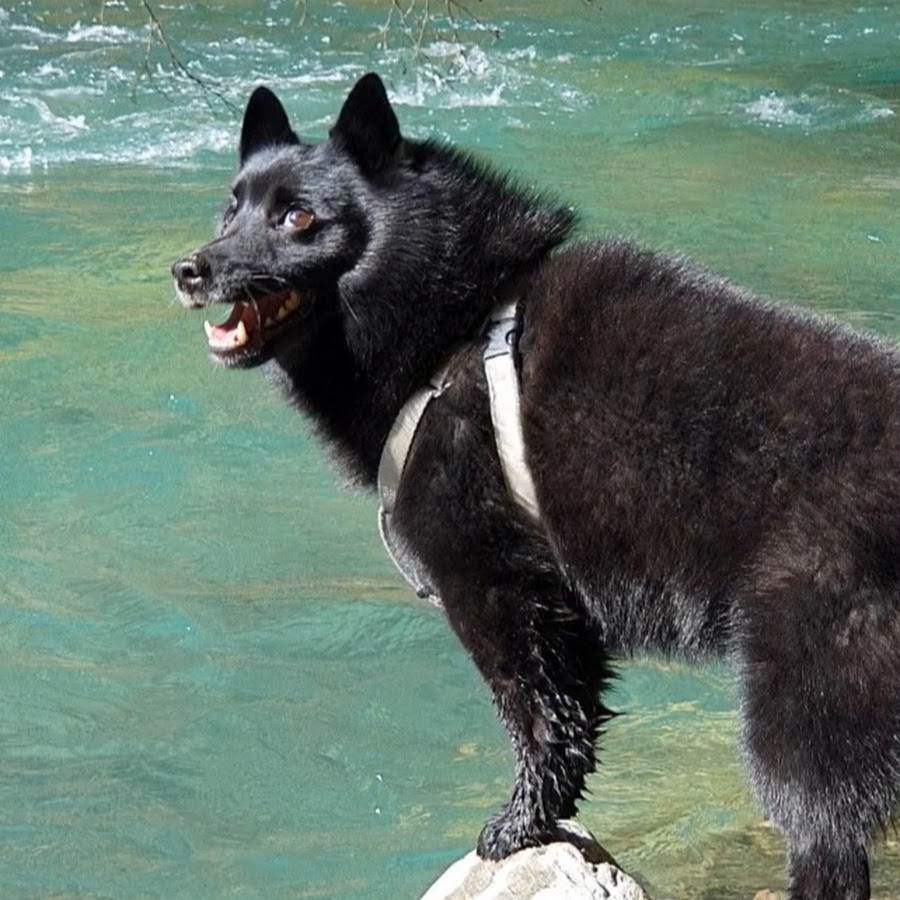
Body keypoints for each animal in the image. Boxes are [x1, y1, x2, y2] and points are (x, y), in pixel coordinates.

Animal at [174, 72, 900, 900]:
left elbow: (541, 720)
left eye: (298, 216)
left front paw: (517, 827)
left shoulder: (496, 586)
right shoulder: (557, 602)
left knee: (825, 845)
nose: (190, 269)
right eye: (230, 207)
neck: (454, 334)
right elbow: (571, 720)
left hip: (803, 707)